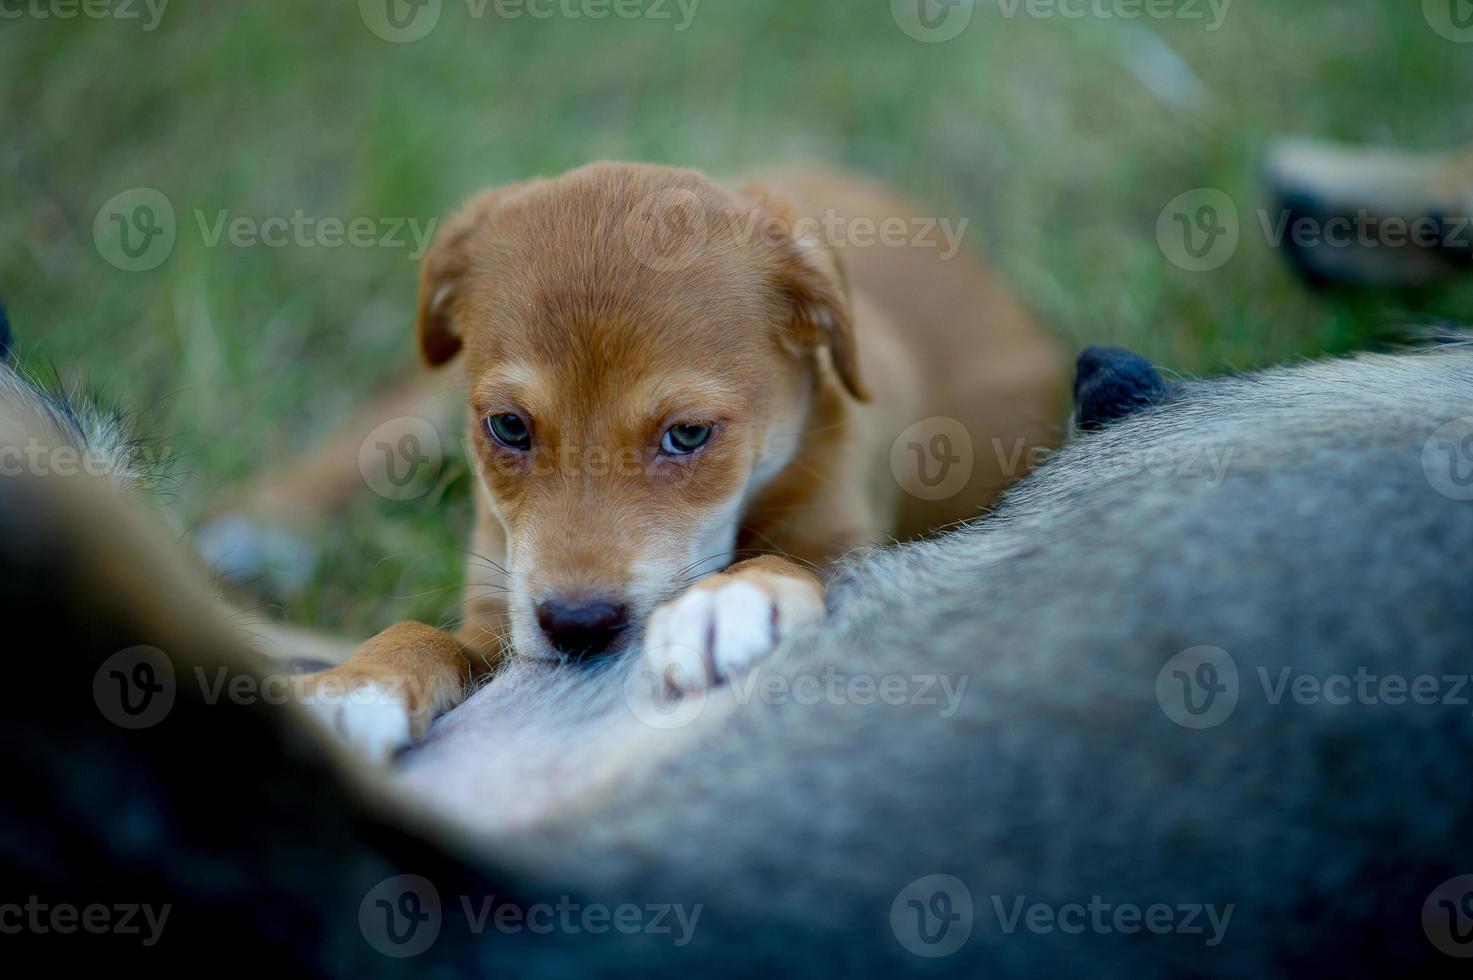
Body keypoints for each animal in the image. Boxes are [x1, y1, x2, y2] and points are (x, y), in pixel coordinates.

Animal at [293, 162, 1066, 754]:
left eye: (688, 435)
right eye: (508, 426)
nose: (578, 626)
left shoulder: (847, 540)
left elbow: (791, 560)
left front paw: (728, 598)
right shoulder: (498, 611)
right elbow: (425, 632)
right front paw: (357, 682)